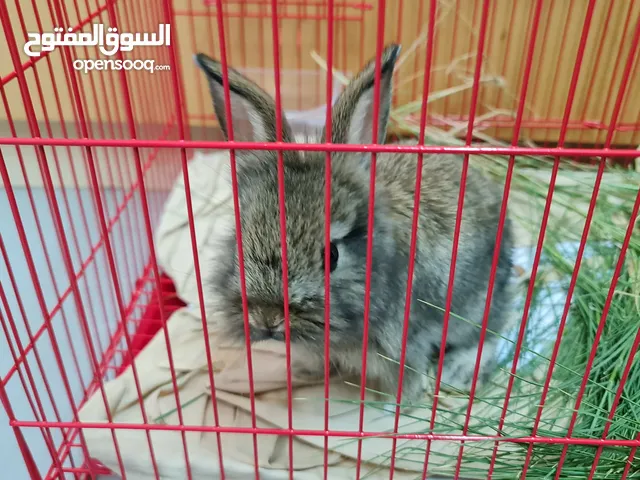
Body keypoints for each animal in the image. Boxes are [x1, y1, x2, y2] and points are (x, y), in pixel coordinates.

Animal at [195, 44, 516, 404]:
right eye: (240, 240)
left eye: (332, 256)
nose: (269, 318)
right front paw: (304, 370)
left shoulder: (404, 343)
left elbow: (407, 378)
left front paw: (401, 404)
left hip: (475, 305)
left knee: (494, 330)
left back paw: (459, 372)